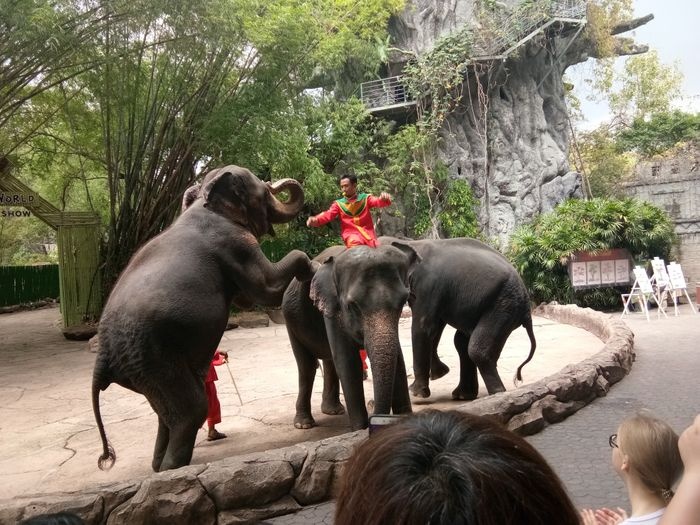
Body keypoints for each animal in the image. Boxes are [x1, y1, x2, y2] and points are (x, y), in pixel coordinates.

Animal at [92, 165, 316, 472]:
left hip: (143, 369)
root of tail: (101, 357)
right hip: (152, 357)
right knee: (191, 409)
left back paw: (158, 466)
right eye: (263, 191)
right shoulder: (236, 244)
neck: (205, 199)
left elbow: (248, 297)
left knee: (165, 413)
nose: (274, 183)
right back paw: (173, 470)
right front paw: (313, 268)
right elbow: (266, 288)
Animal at [282, 242, 421, 431]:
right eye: (352, 305)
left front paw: (404, 418)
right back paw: (304, 424)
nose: (372, 406)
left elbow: (398, 359)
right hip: (290, 321)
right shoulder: (332, 308)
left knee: (329, 361)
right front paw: (360, 428)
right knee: (307, 366)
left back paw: (333, 410)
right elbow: (347, 361)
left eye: (403, 301)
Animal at [379, 236, 536, 401]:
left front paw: (416, 394)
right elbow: (436, 326)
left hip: (504, 305)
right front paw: (439, 373)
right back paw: (463, 395)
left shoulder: (428, 286)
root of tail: (527, 309)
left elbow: (423, 327)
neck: (409, 242)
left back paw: (496, 393)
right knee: (461, 342)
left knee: (475, 349)